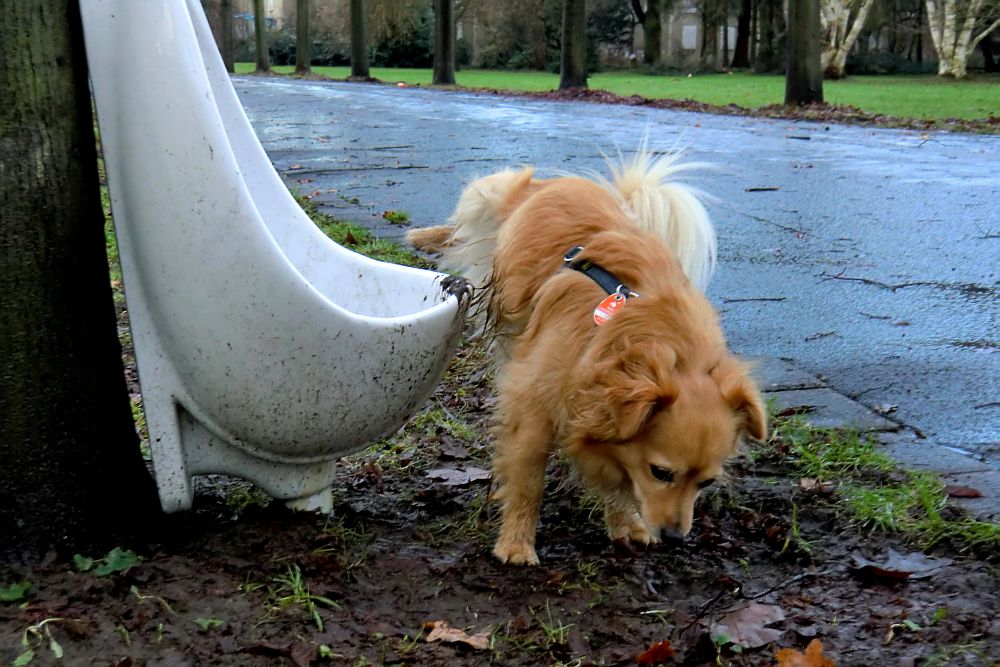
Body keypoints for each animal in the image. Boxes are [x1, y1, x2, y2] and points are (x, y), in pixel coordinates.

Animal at [406, 155, 764, 564]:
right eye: (661, 473)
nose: (675, 538)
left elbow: (622, 478)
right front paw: (516, 543)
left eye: (706, 482)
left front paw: (626, 523)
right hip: (494, 197)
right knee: (466, 224)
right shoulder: (535, 402)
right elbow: (528, 478)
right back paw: (424, 236)